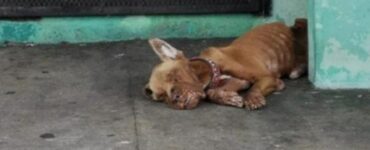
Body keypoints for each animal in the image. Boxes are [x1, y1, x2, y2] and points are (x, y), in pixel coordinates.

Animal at [143, 18, 308, 110]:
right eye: (161, 96)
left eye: (174, 75)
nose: (174, 99)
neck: (213, 70)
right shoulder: (238, 82)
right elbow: (211, 93)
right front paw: (228, 98)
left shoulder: (267, 77)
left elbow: (255, 88)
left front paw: (253, 98)